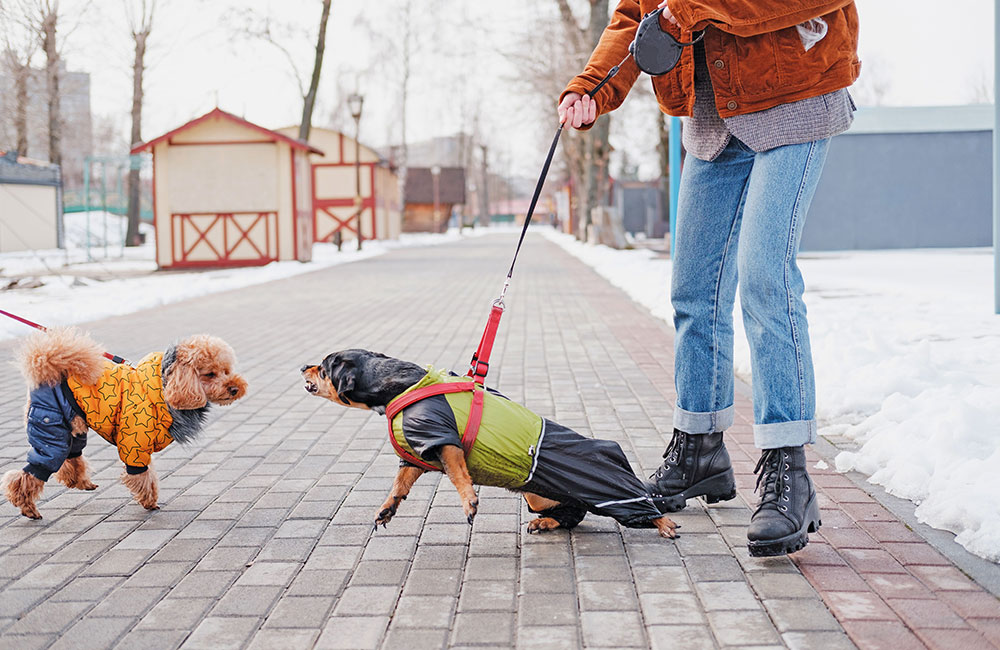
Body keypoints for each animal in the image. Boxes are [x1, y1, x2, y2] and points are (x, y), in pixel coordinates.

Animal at [302, 350, 680, 536]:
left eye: (323, 367)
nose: (302, 366)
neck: (399, 385)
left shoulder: (443, 440)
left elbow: (458, 475)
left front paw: (469, 503)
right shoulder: (417, 453)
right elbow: (399, 485)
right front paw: (386, 509)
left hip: (611, 489)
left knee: (642, 506)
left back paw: (665, 525)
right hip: (538, 496)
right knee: (574, 514)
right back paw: (545, 524)